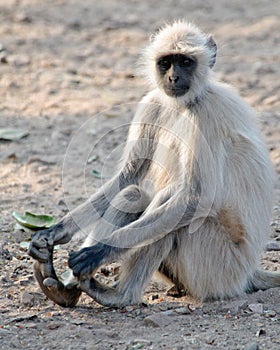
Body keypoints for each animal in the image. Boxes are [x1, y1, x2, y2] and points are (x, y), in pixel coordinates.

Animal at [27, 21, 278, 306]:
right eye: (166, 62)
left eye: (185, 62)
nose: (173, 78)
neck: (186, 103)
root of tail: (248, 271)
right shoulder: (153, 100)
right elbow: (128, 176)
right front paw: (54, 233)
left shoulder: (207, 114)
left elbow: (196, 198)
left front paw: (98, 252)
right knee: (133, 194)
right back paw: (66, 288)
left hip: (217, 269)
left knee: (172, 202)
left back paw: (120, 296)